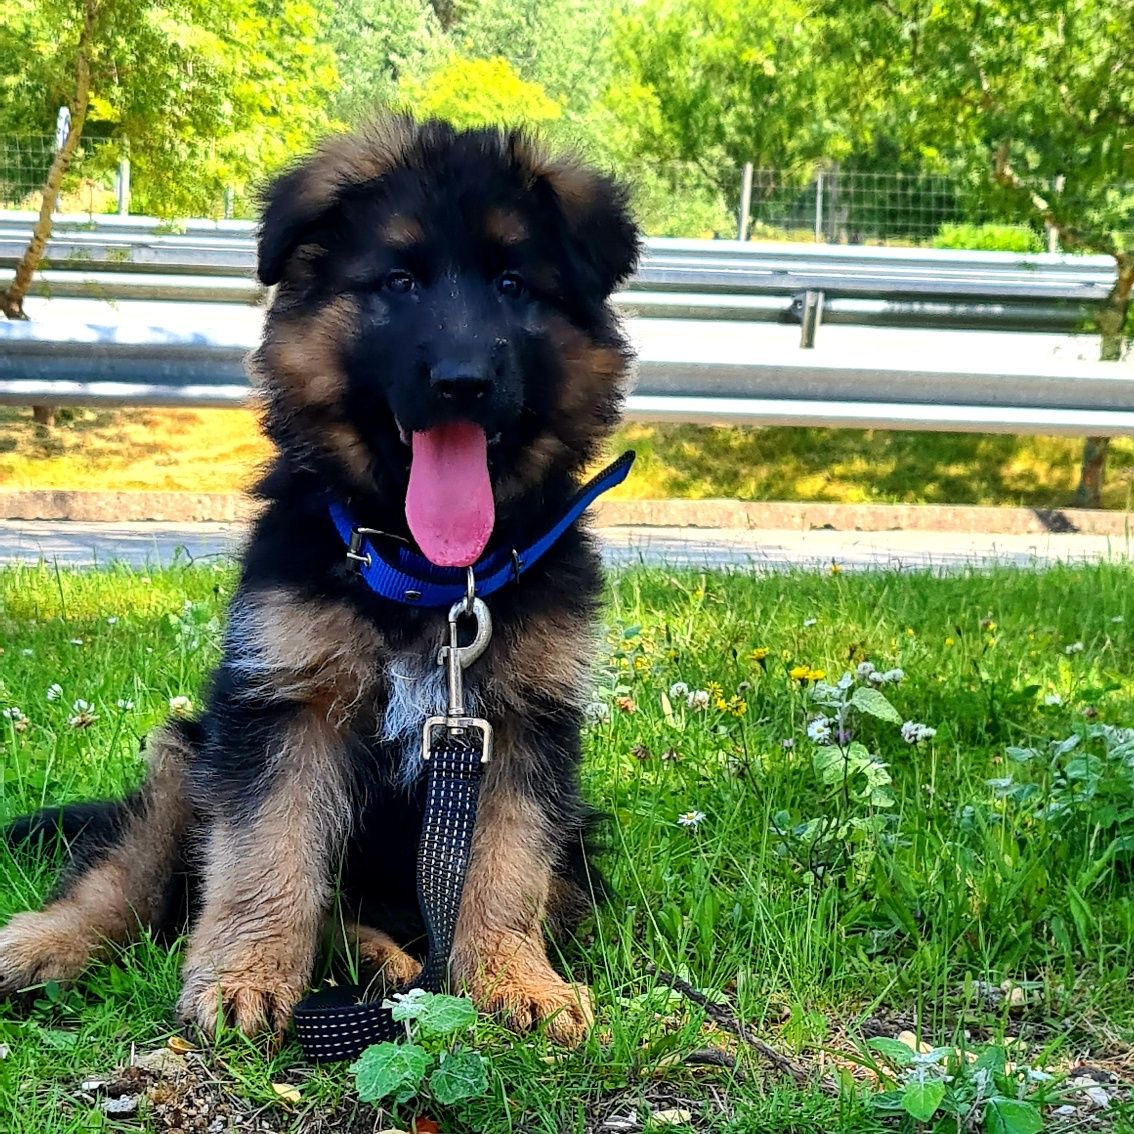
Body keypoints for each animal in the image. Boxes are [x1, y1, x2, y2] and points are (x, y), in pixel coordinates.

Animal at [0, 115, 639, 1043]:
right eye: (400, 281)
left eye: (513, 284)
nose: (462, 383)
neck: (426, 576)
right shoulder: (283, 707)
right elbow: (267, 853)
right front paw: (244, 976)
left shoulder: (519, 727)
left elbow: (507, 865)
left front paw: (513, 979)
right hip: (187, 757)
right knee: (131, 870)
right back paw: (49, 942)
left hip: (575, 835)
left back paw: (382, 957)